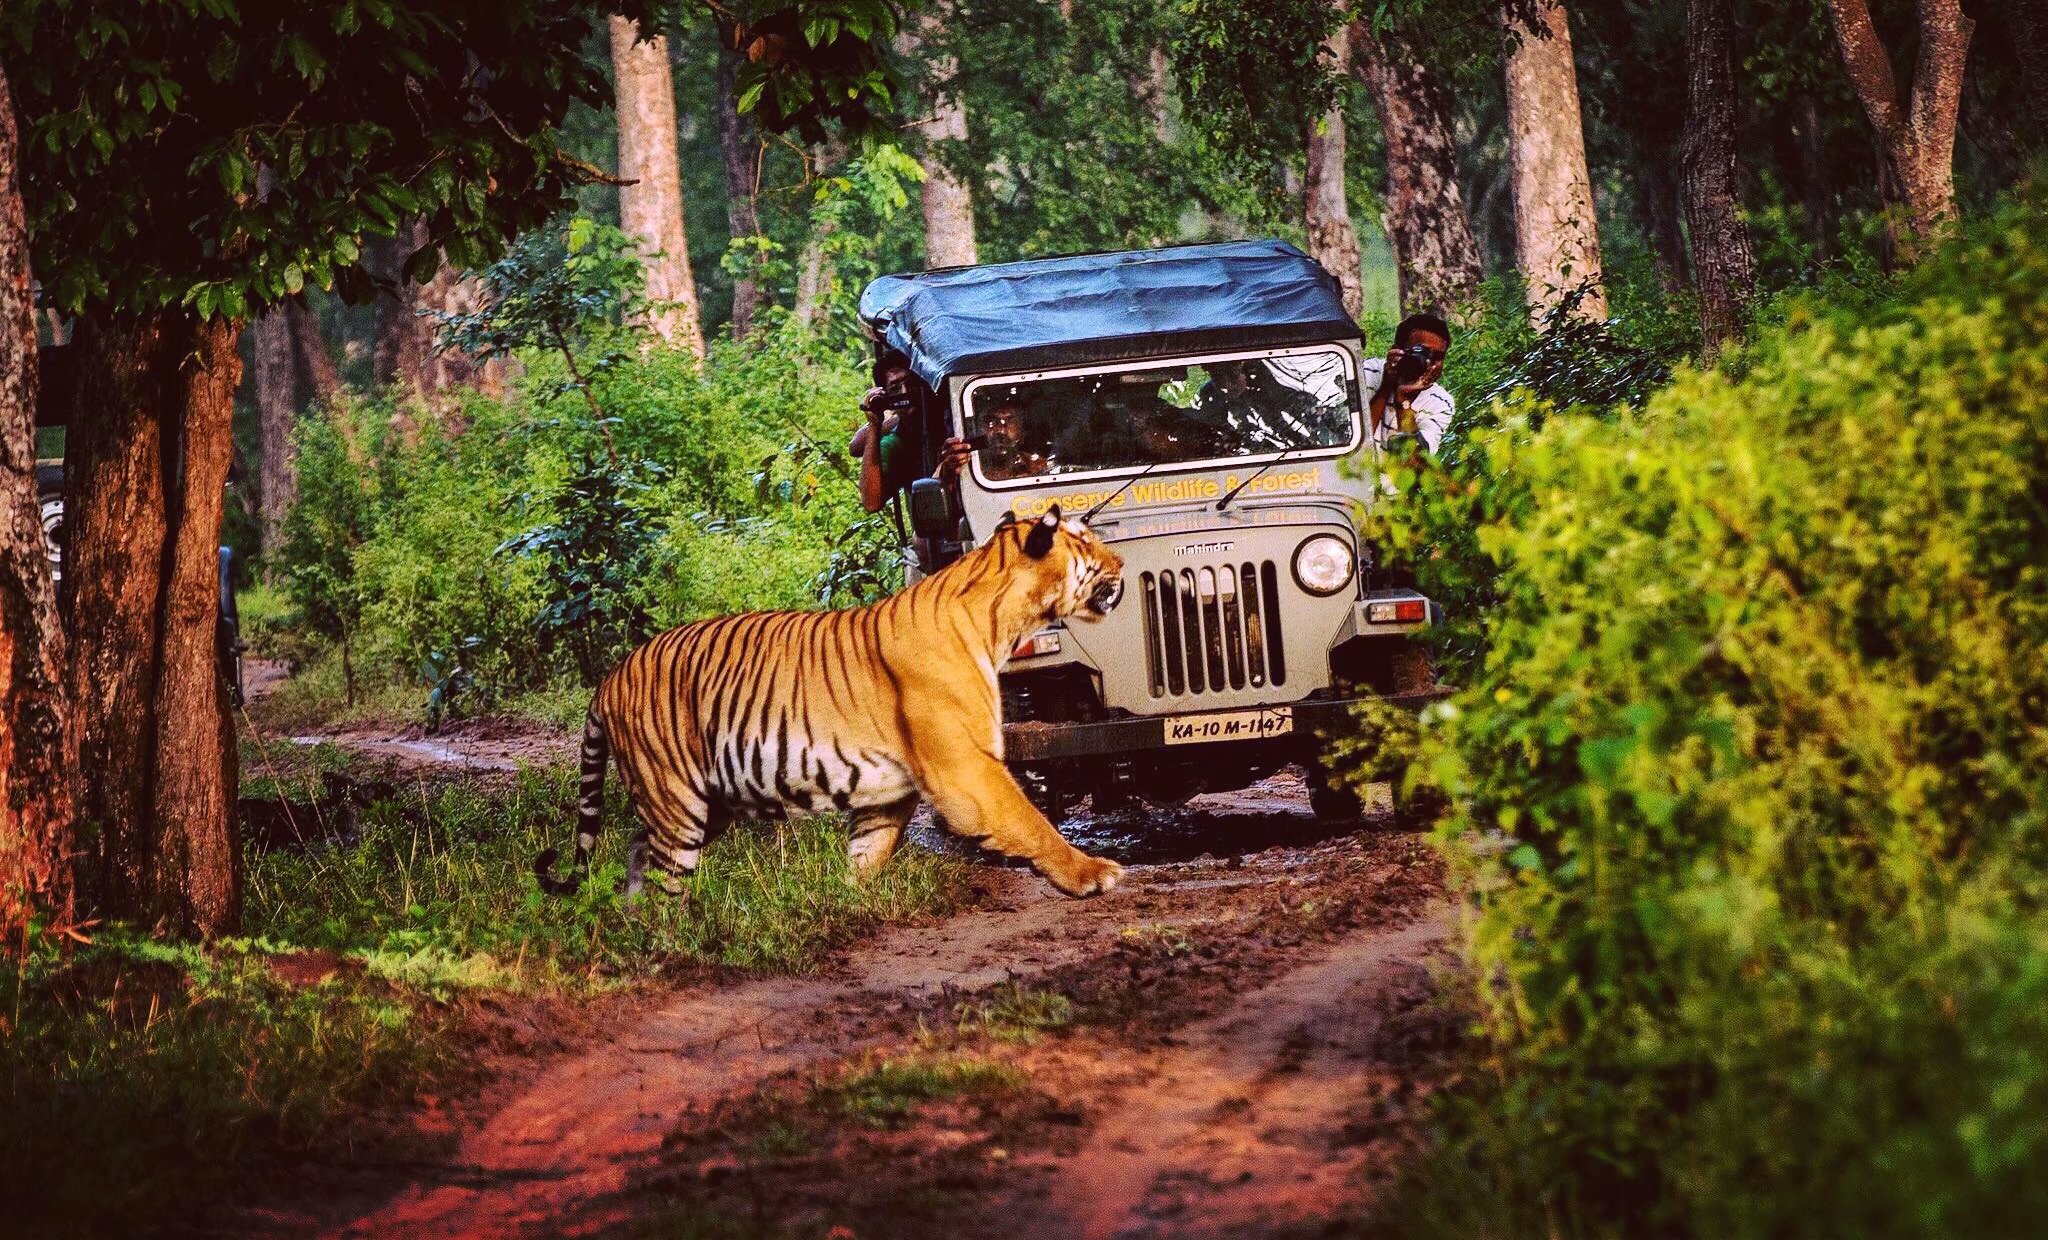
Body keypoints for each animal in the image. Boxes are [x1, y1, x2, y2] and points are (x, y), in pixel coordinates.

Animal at [536, 502, 1130, 897]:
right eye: (1085, 542)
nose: (1122, 564)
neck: (998, 619)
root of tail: (610, 677)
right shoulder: (967, 770)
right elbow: (1031, 820)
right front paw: (1091, 872)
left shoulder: (888, 792)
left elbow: (870, 852)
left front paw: (849, 896)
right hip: (676, 798)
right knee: (663, 879)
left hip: (702, 802)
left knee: (639, 854)